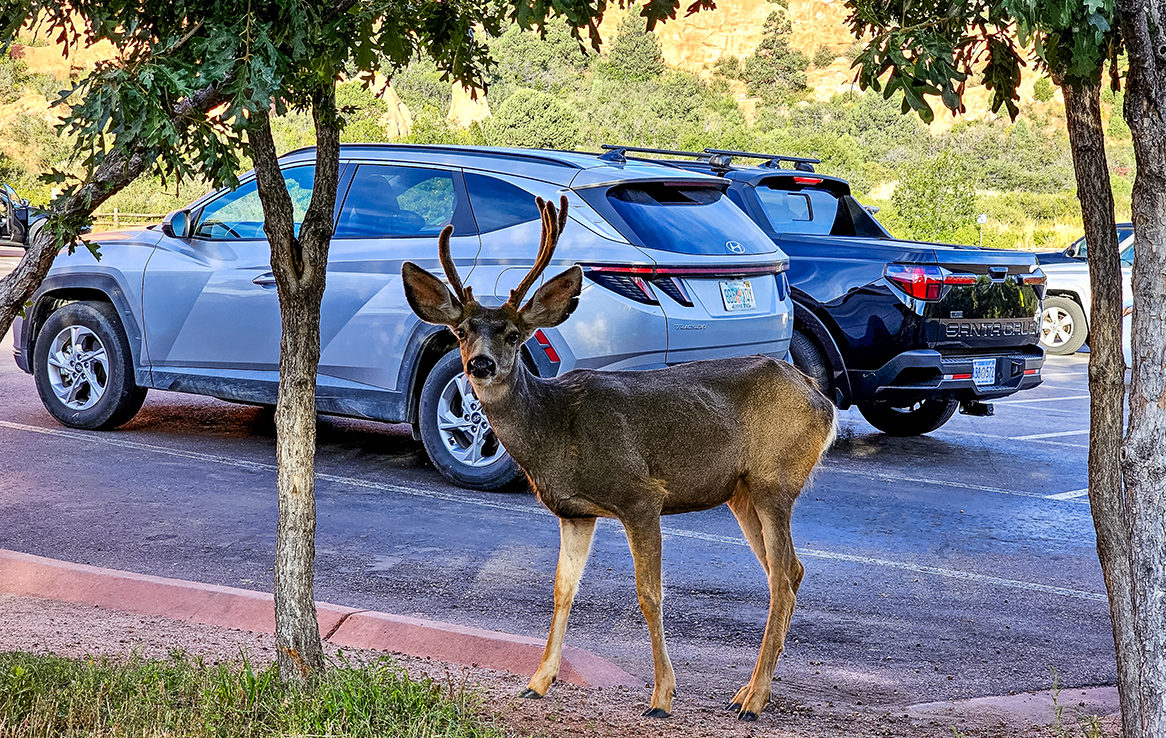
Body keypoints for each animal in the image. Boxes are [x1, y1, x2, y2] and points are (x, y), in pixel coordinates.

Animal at [403, 195, 839, 718]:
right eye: (462, 330)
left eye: (513, 334)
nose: (480, 365)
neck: (556, 432)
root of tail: (823, 400)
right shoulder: (575, 513)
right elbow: (561, 590)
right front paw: (537, 681)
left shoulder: (640, 496)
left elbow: (649, 594)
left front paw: (662, 696)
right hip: (741, 493)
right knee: (789, 571)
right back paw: (750, 690)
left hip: (775, 480)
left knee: (782, 578)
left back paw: (753, 699)